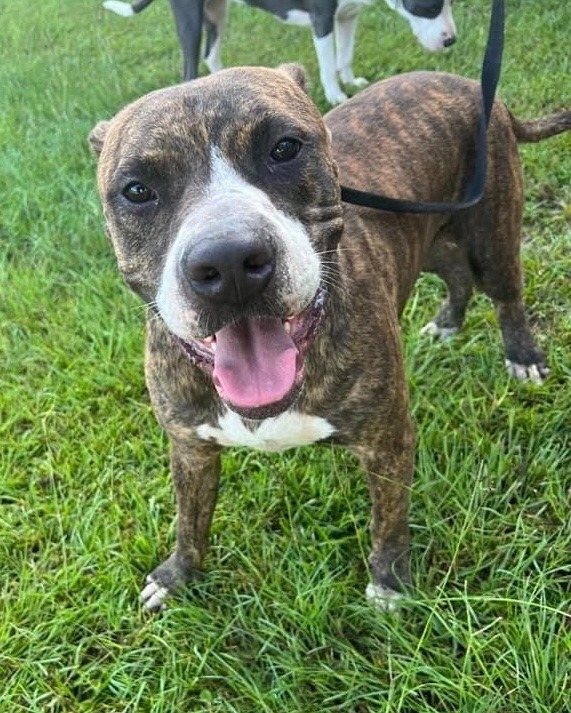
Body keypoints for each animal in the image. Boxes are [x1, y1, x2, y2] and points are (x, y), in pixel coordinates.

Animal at [89, 64, 568, 608]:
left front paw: (389, 583)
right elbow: (191, 520)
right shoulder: (190, 449)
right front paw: (177, 576)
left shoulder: (387, 441)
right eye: (136, 190)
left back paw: (522, 355)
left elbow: (388, 520)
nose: (229, 261)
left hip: (493, 234)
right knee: (455, 274)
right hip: (428, 236)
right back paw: (448, 322)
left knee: (505, 295)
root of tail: (470, 84)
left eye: (283, 148)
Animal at [103, 0, 458, 103]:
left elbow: (345, 54)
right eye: (429, 5)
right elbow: (327, 64)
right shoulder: (322, 19)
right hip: (190, 18)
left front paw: (351, 80)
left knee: (210, 55)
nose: (451, 40)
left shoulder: (348, 15)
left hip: (217, 12)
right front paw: (336, 95)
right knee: (190, 66)